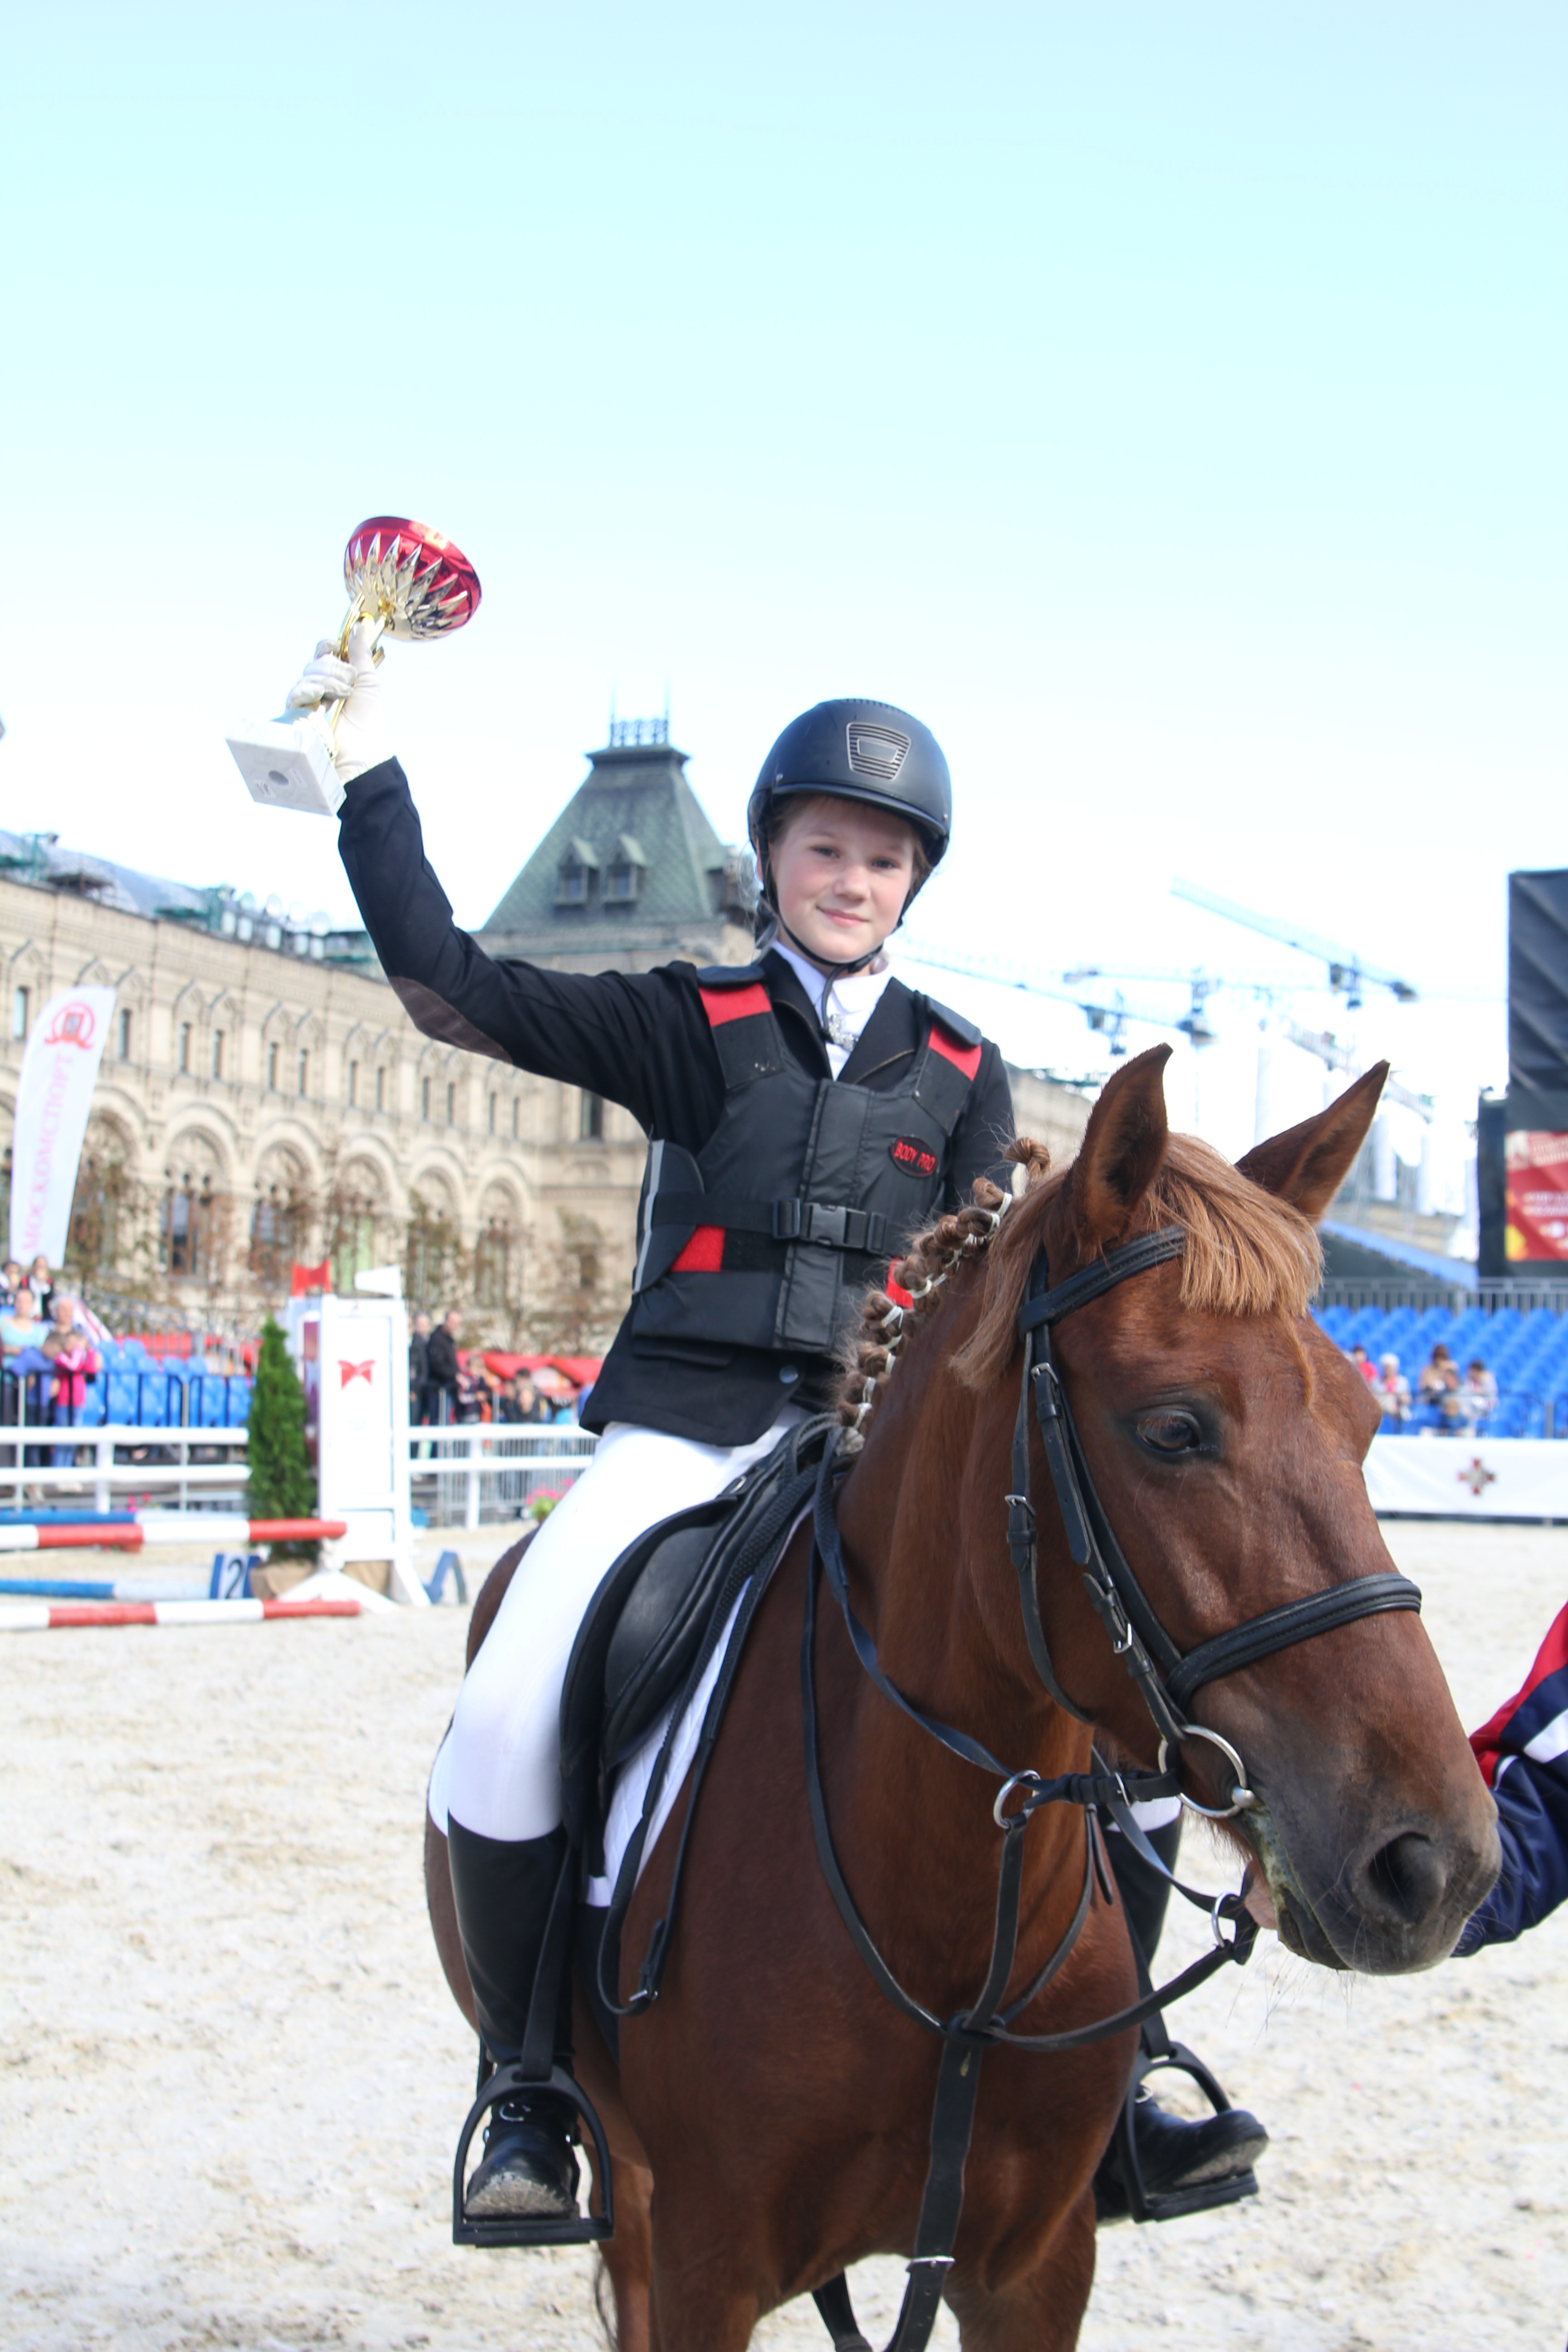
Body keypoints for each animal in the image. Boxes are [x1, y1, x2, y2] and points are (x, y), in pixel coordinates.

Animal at [425, 1054, 1495, 2352]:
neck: (944, 1938)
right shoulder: (701, 2263)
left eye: (1368, 1421)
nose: (1436, 1861)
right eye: (1172, 1427)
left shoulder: (1033, 2263)